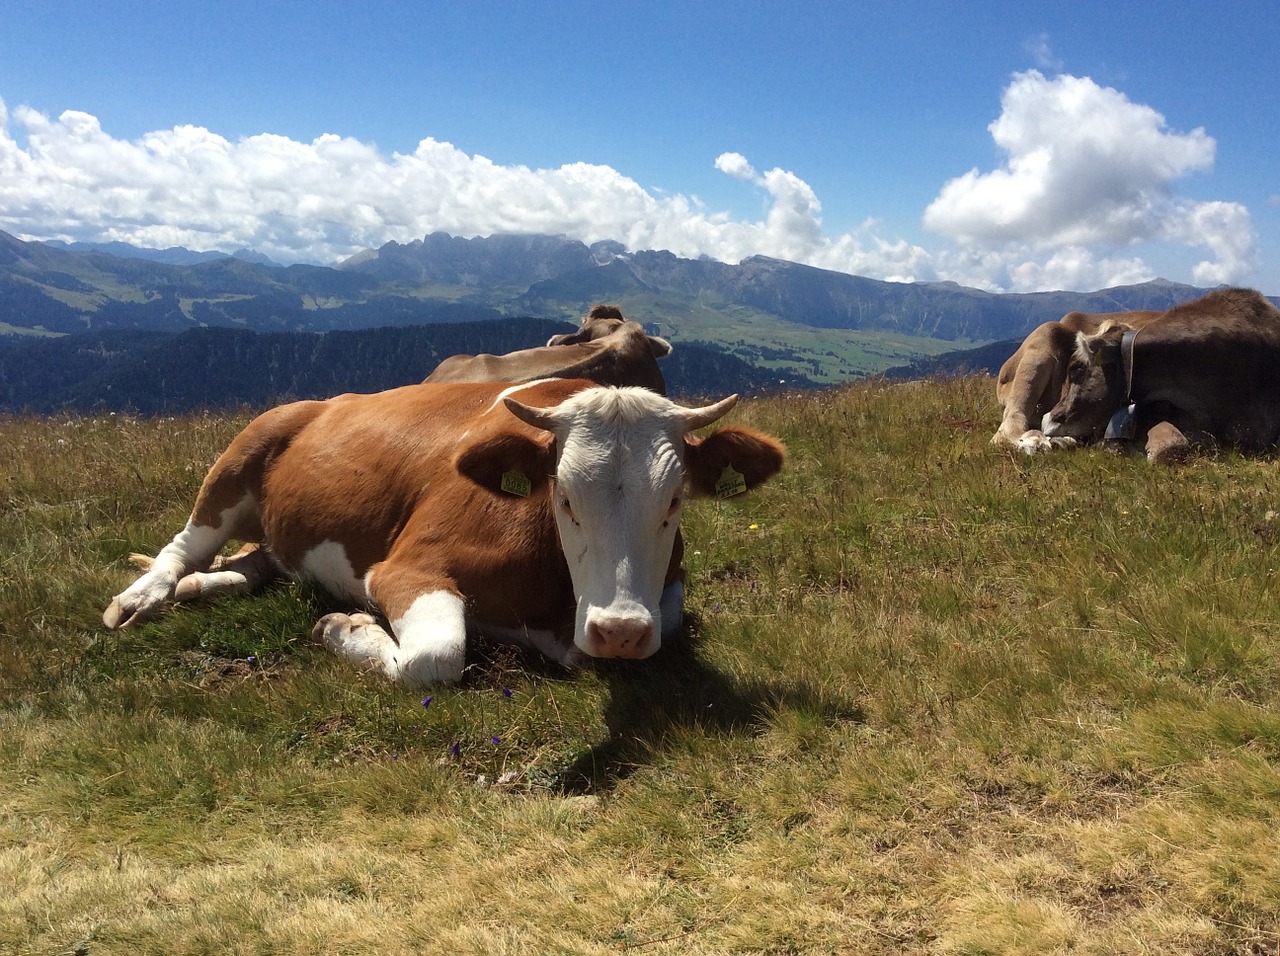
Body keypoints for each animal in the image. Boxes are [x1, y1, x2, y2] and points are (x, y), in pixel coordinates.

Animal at [104, 378, 783, 685]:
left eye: (675, 500)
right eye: (564, 496)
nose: (618, 630)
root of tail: (324, 401)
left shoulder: (666, 589)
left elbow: (660, 625)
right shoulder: (407, 568)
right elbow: (434, 658)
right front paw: (344, 627)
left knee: (258, 558)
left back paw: (206, 586)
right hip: (241, 454)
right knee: (182, 546)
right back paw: (145, 596)